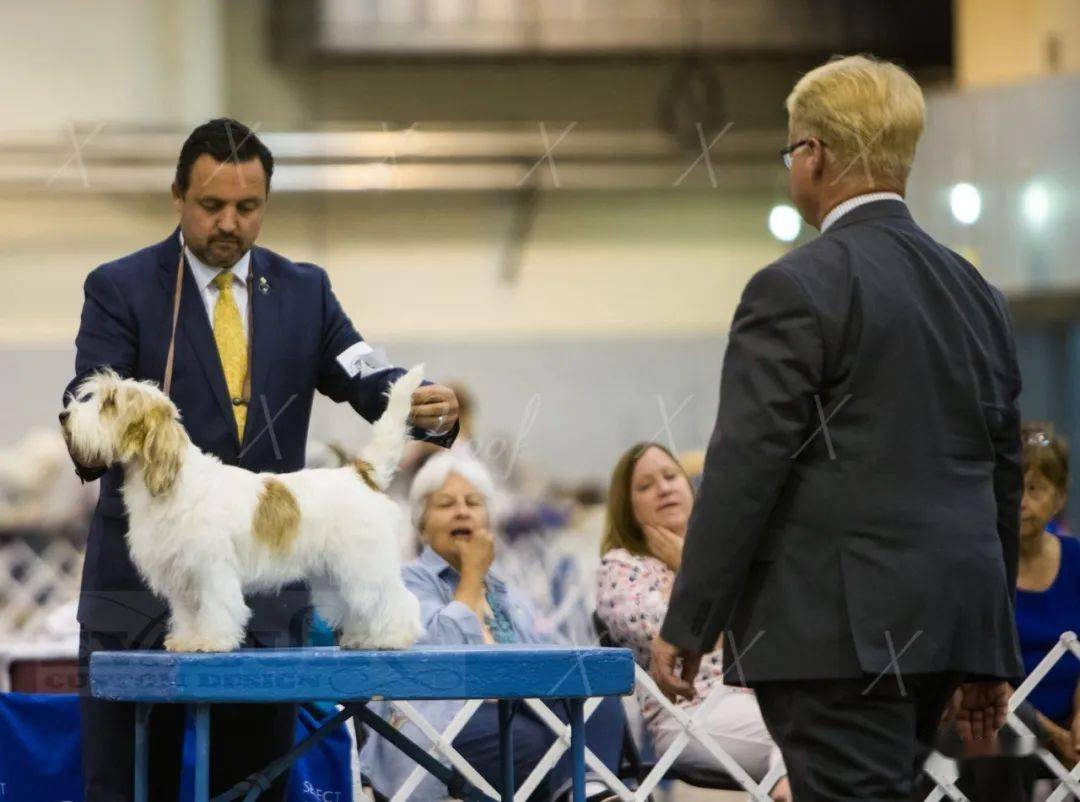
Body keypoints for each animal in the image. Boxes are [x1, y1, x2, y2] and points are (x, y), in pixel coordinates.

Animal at [56, 366, 423, 656]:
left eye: (110, 403)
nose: (63, 416)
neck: (172, 482)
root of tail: (360, 472)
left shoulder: (211, 568)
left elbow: (217, 606)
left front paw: (212, 641)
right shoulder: (182, 575)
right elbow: (188, 612)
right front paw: (187, 640)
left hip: (365, 563)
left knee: (396, 598)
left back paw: (394, 636)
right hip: (336, 573)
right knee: (359, 603)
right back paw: (364, 637)